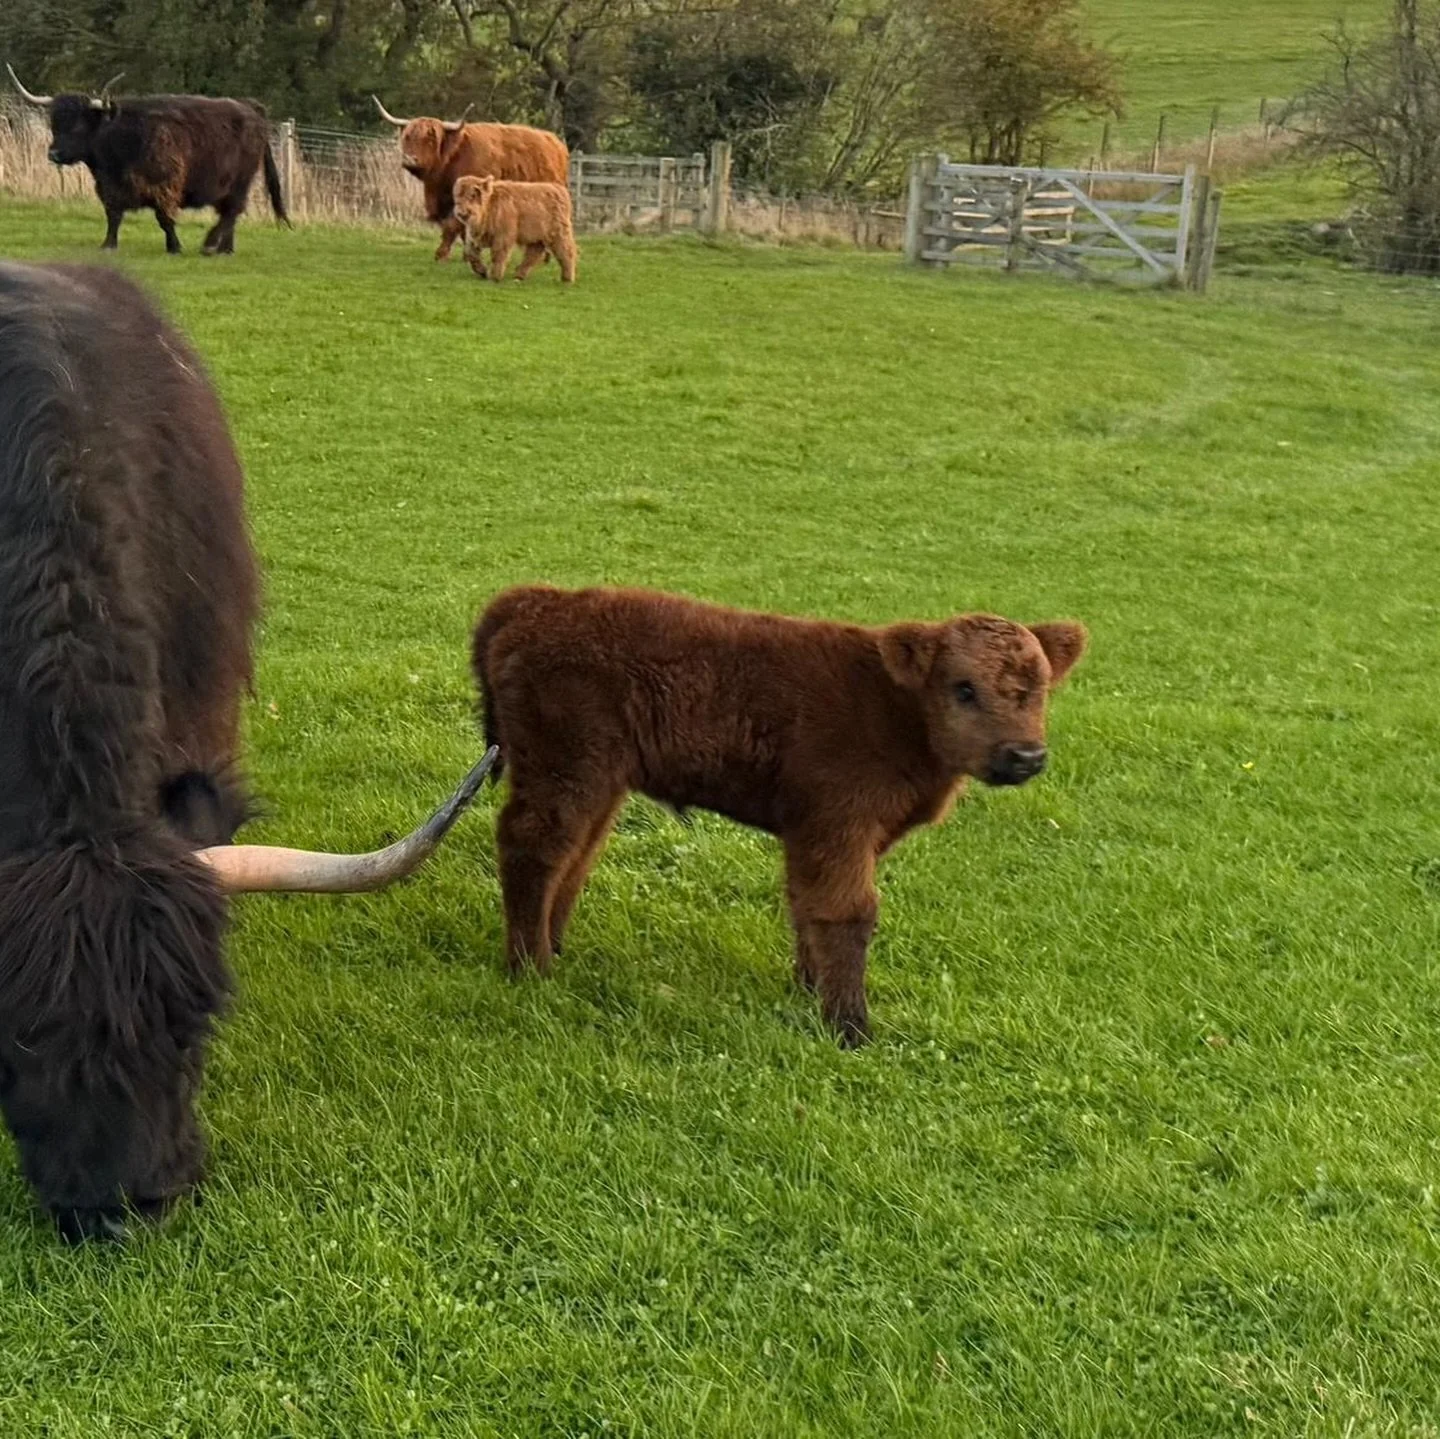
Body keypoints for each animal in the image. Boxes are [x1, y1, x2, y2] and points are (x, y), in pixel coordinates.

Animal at [7, 67, 289, 255]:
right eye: (54, 124)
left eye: (77, 126)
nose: (53, 154)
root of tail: (251, 108)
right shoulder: (110, 188)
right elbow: (113, 216)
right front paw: (108, 245)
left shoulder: (164, 184)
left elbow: (164, 218)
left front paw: (174, 247)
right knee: (229, 214)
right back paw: (224, 248)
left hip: (241, 181)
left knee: (232, 211)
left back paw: (210, 245)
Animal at [372, 95, 569, 261]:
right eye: (407, 137)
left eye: (430, 140)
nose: (409, 159)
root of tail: (556, 142)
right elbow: (459, 230)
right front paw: (466, 255)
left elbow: (453, 226)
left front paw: (442, 255)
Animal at [473, 586, 1087, 1047]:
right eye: (963, 688)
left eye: (1038, 689)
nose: (1024, 756)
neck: (894, 711)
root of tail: (537, 601)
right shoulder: (839, 821)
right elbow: (847, 913)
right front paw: (849, 1027)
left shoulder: (813, 832)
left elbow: (807, 904)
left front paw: (810, 990)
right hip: (565, 764)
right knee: (533, 845)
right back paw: (530, 967)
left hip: (598, 778)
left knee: (576, 853)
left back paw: (552, 945)